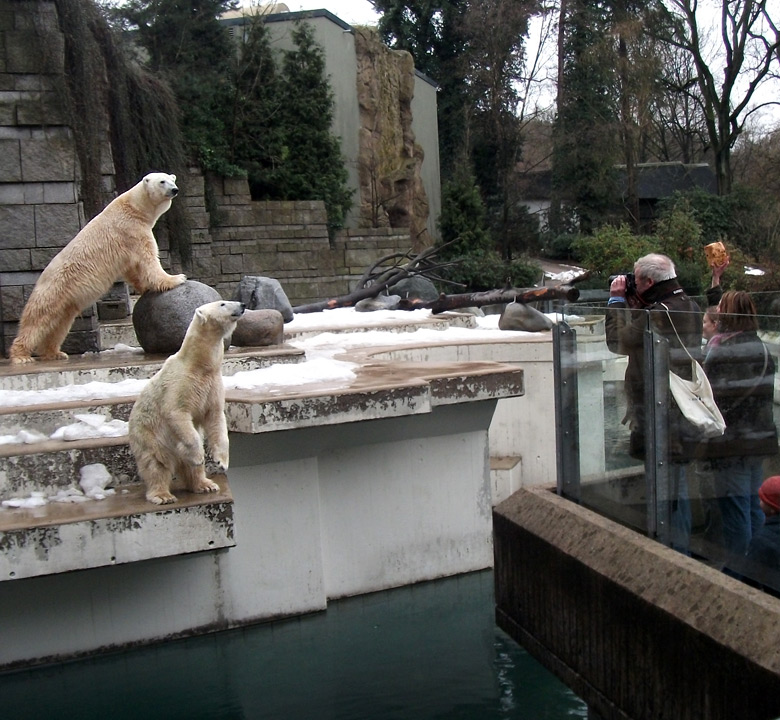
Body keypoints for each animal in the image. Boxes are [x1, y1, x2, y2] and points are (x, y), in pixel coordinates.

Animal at [9, 174, 186, 362]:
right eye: (162, 181)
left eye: (172, 179)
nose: (174, 190)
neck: (134, 207)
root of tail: (41, 278)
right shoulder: (131, 230)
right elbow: (147, 258)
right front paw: (176, 278)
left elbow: (131, 268)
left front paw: (144, 287)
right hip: (53, 289)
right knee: (37, 320)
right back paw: (21, 355)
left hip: (66, 302)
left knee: (59, 324)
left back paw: (55, 352)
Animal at [129, 298, 244, 506]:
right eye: (222, 304)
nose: (242, 305)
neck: (198, 364)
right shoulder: (181, 383)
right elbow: (177, 413)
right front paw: (199, 456)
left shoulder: (212, 384)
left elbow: (215, 417)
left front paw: (221, 461)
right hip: (148, 436)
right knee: (156, 463)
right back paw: (163, 495)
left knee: (190, 468)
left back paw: (206, 484)